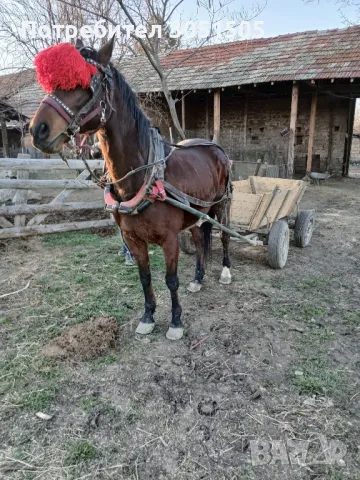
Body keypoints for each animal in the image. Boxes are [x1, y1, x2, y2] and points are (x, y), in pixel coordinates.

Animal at [29, 38, 232, 342]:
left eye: (87, 82)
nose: (37, 130)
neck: (143, 177)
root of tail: (214, 147)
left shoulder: (170, 239)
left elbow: (171, 280)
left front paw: (175, 322)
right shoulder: (133, 239)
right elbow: (145, 278)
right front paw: (148, 317)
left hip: (221, 206)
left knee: (225, 238)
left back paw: (226, 272)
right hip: (197, 213)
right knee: (198, 241)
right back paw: (198, 279)